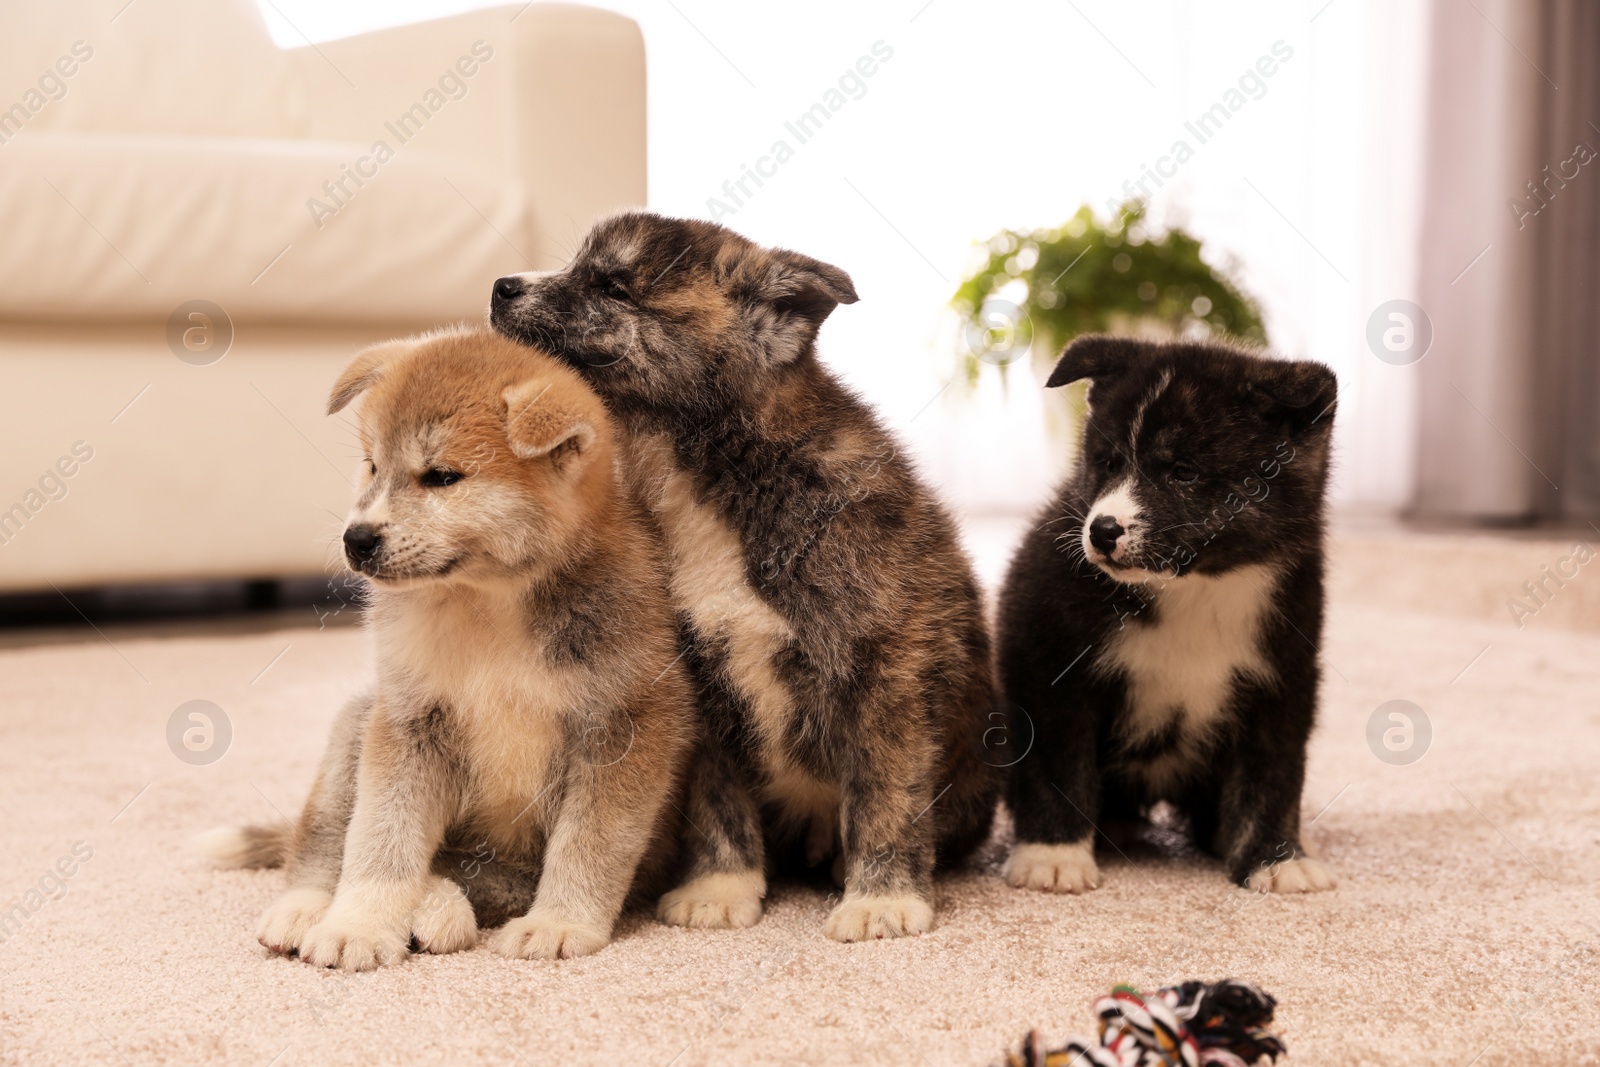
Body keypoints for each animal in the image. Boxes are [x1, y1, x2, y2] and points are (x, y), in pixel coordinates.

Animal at [486, 212, 998, 940]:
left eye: (613, 285)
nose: (501, 287)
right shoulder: (700, 688)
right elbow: (716, 802)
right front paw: (719, 886)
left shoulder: (888, 669)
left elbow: (886, 793)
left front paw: (882, 899)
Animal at [998, 331, 1337, 895]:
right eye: (1109, 462)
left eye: (1184, 473)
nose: (1102, 531)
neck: (1194, 588)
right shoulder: (1049, 662)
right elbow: (1060, 765)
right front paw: (1054, 855)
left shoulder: (1282, 677)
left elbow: (1272, 774)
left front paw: (1274, 859)